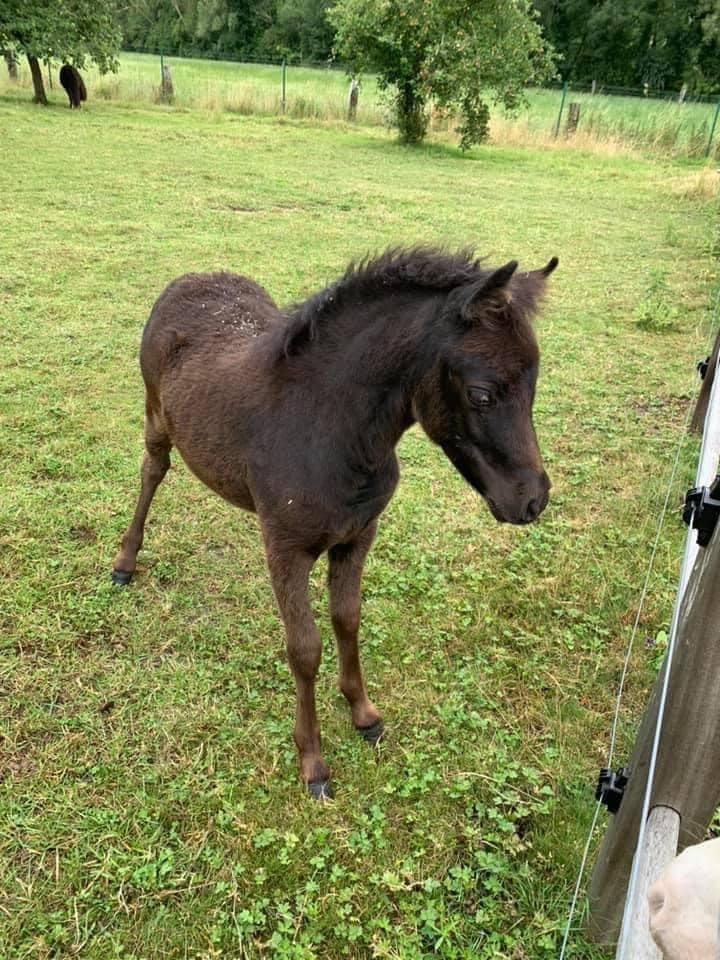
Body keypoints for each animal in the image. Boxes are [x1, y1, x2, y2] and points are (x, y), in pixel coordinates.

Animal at [112, 247, 558, 799]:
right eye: (481, 394)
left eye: (534, 385)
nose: (533, 499)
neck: (330, 432)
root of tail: (195, 277)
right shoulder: (286, 550)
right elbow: (304, 649)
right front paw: (313, 762)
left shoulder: (357, 536)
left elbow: (348, 618)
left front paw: (363, 713)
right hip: (156, 415)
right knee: (153, 470)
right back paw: (125, 560)